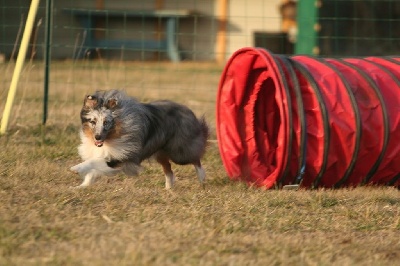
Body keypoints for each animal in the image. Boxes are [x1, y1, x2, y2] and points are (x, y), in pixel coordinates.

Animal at [69, 90, 209, 189]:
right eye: (93, 122)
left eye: (106, 122)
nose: (97, 137)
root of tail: (188, 110)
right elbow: (92, 172)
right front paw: (80, 187)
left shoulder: (120, 157)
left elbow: (94, 161)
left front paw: (76, 168)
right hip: (160, 152)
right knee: (169, 169)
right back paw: (168, 189)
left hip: (179, 152)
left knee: (196, 159)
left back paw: (202, 178)